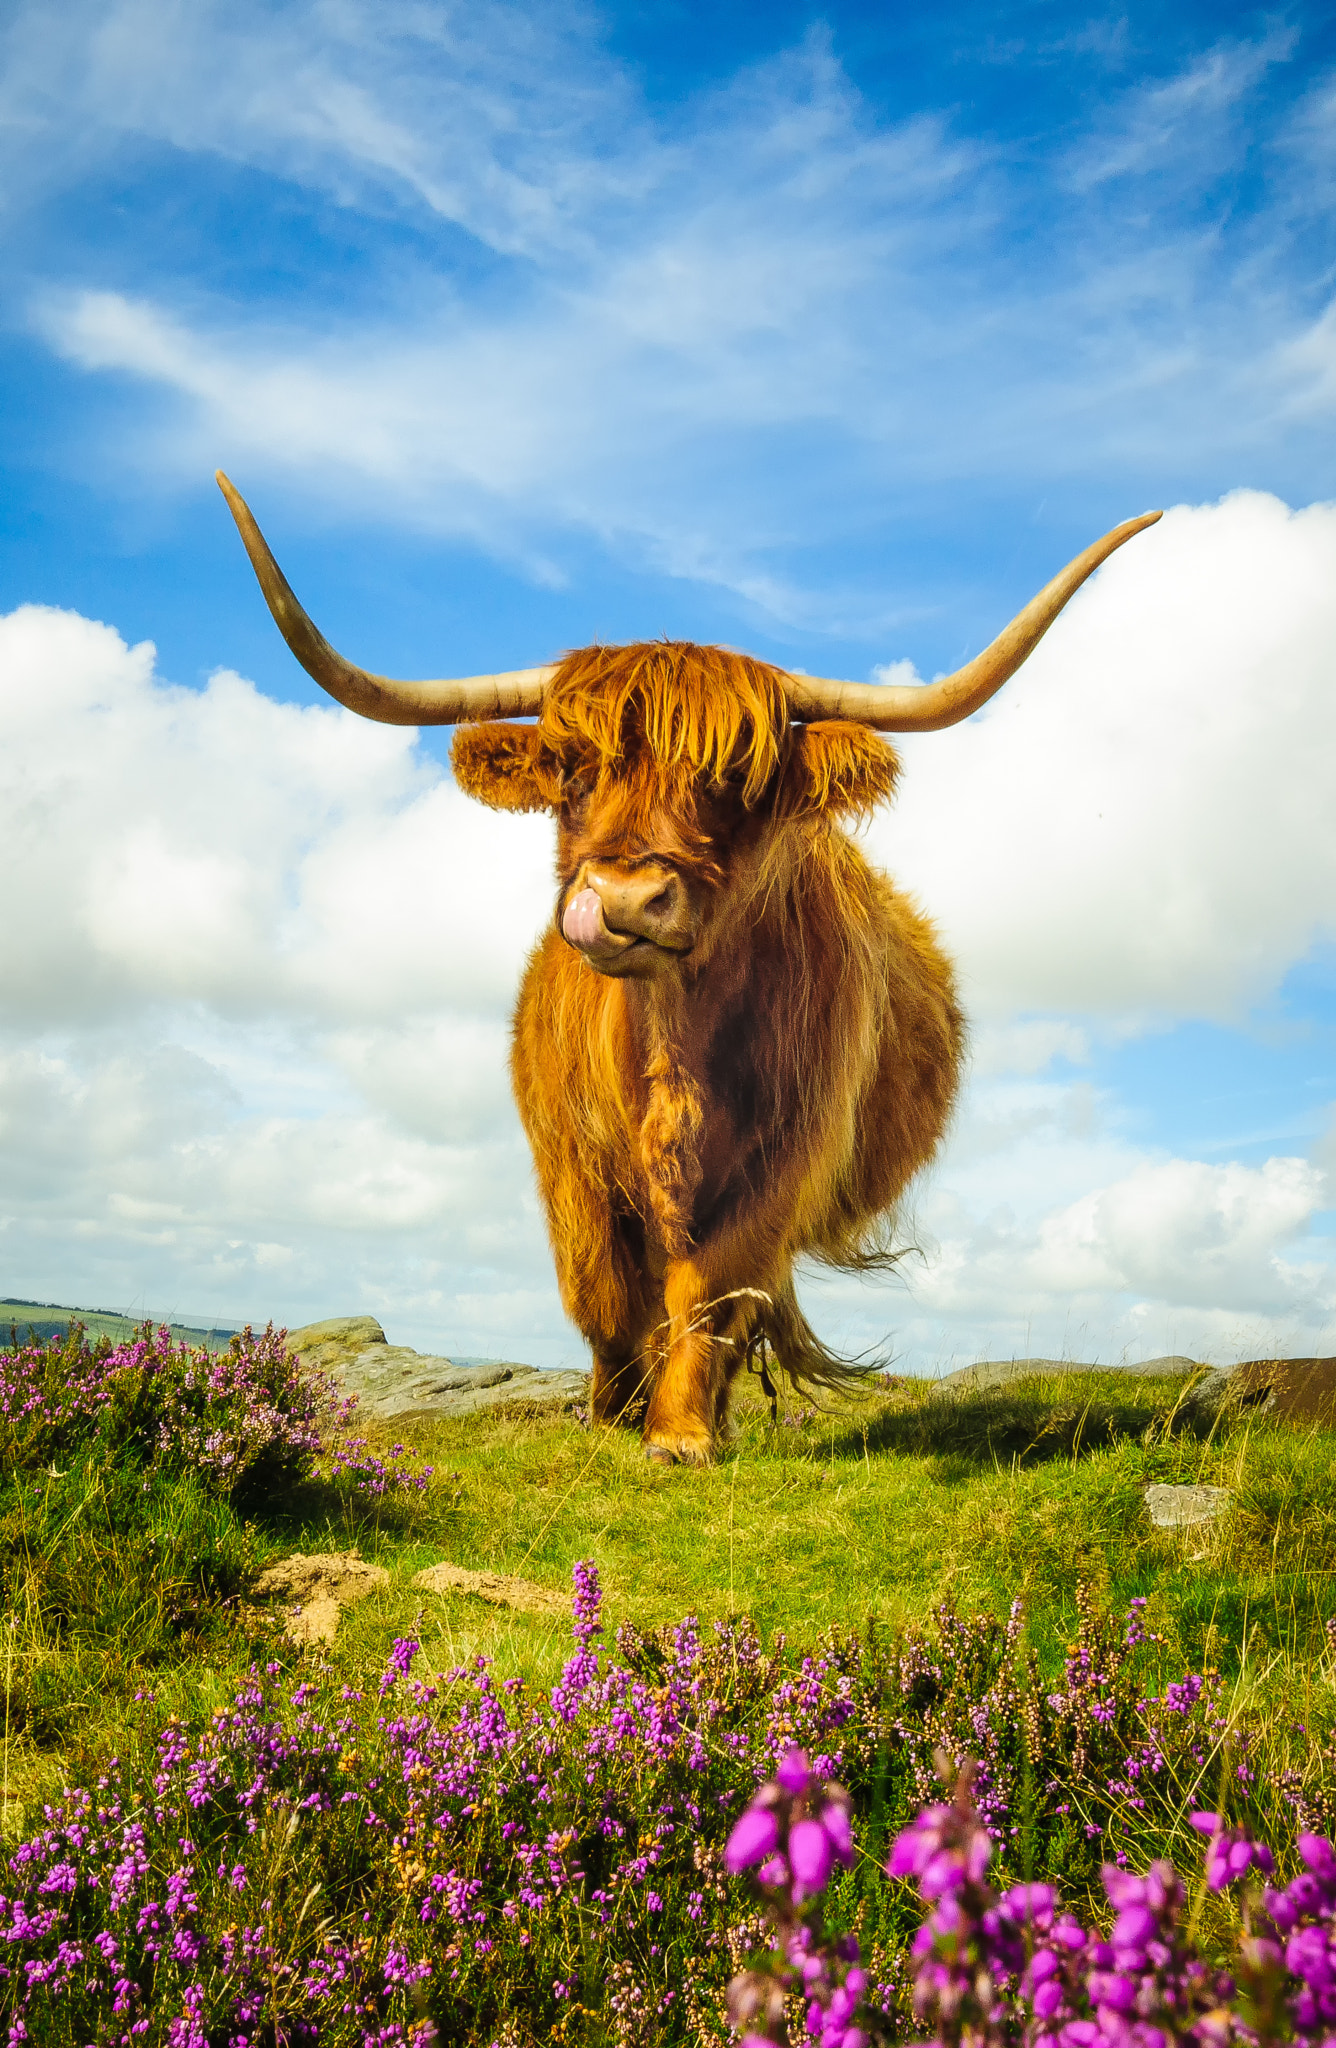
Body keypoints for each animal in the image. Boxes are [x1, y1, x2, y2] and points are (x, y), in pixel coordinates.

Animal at [219, 475, 1155, 1474]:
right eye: (568, 767)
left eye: (737, 775)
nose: (627, 899)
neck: (671, 1051)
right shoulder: (569, 1160)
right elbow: (600, 1291)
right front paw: (611, 1413)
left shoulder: (787, 1158)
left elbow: (708, 1289)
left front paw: (678, 1432)